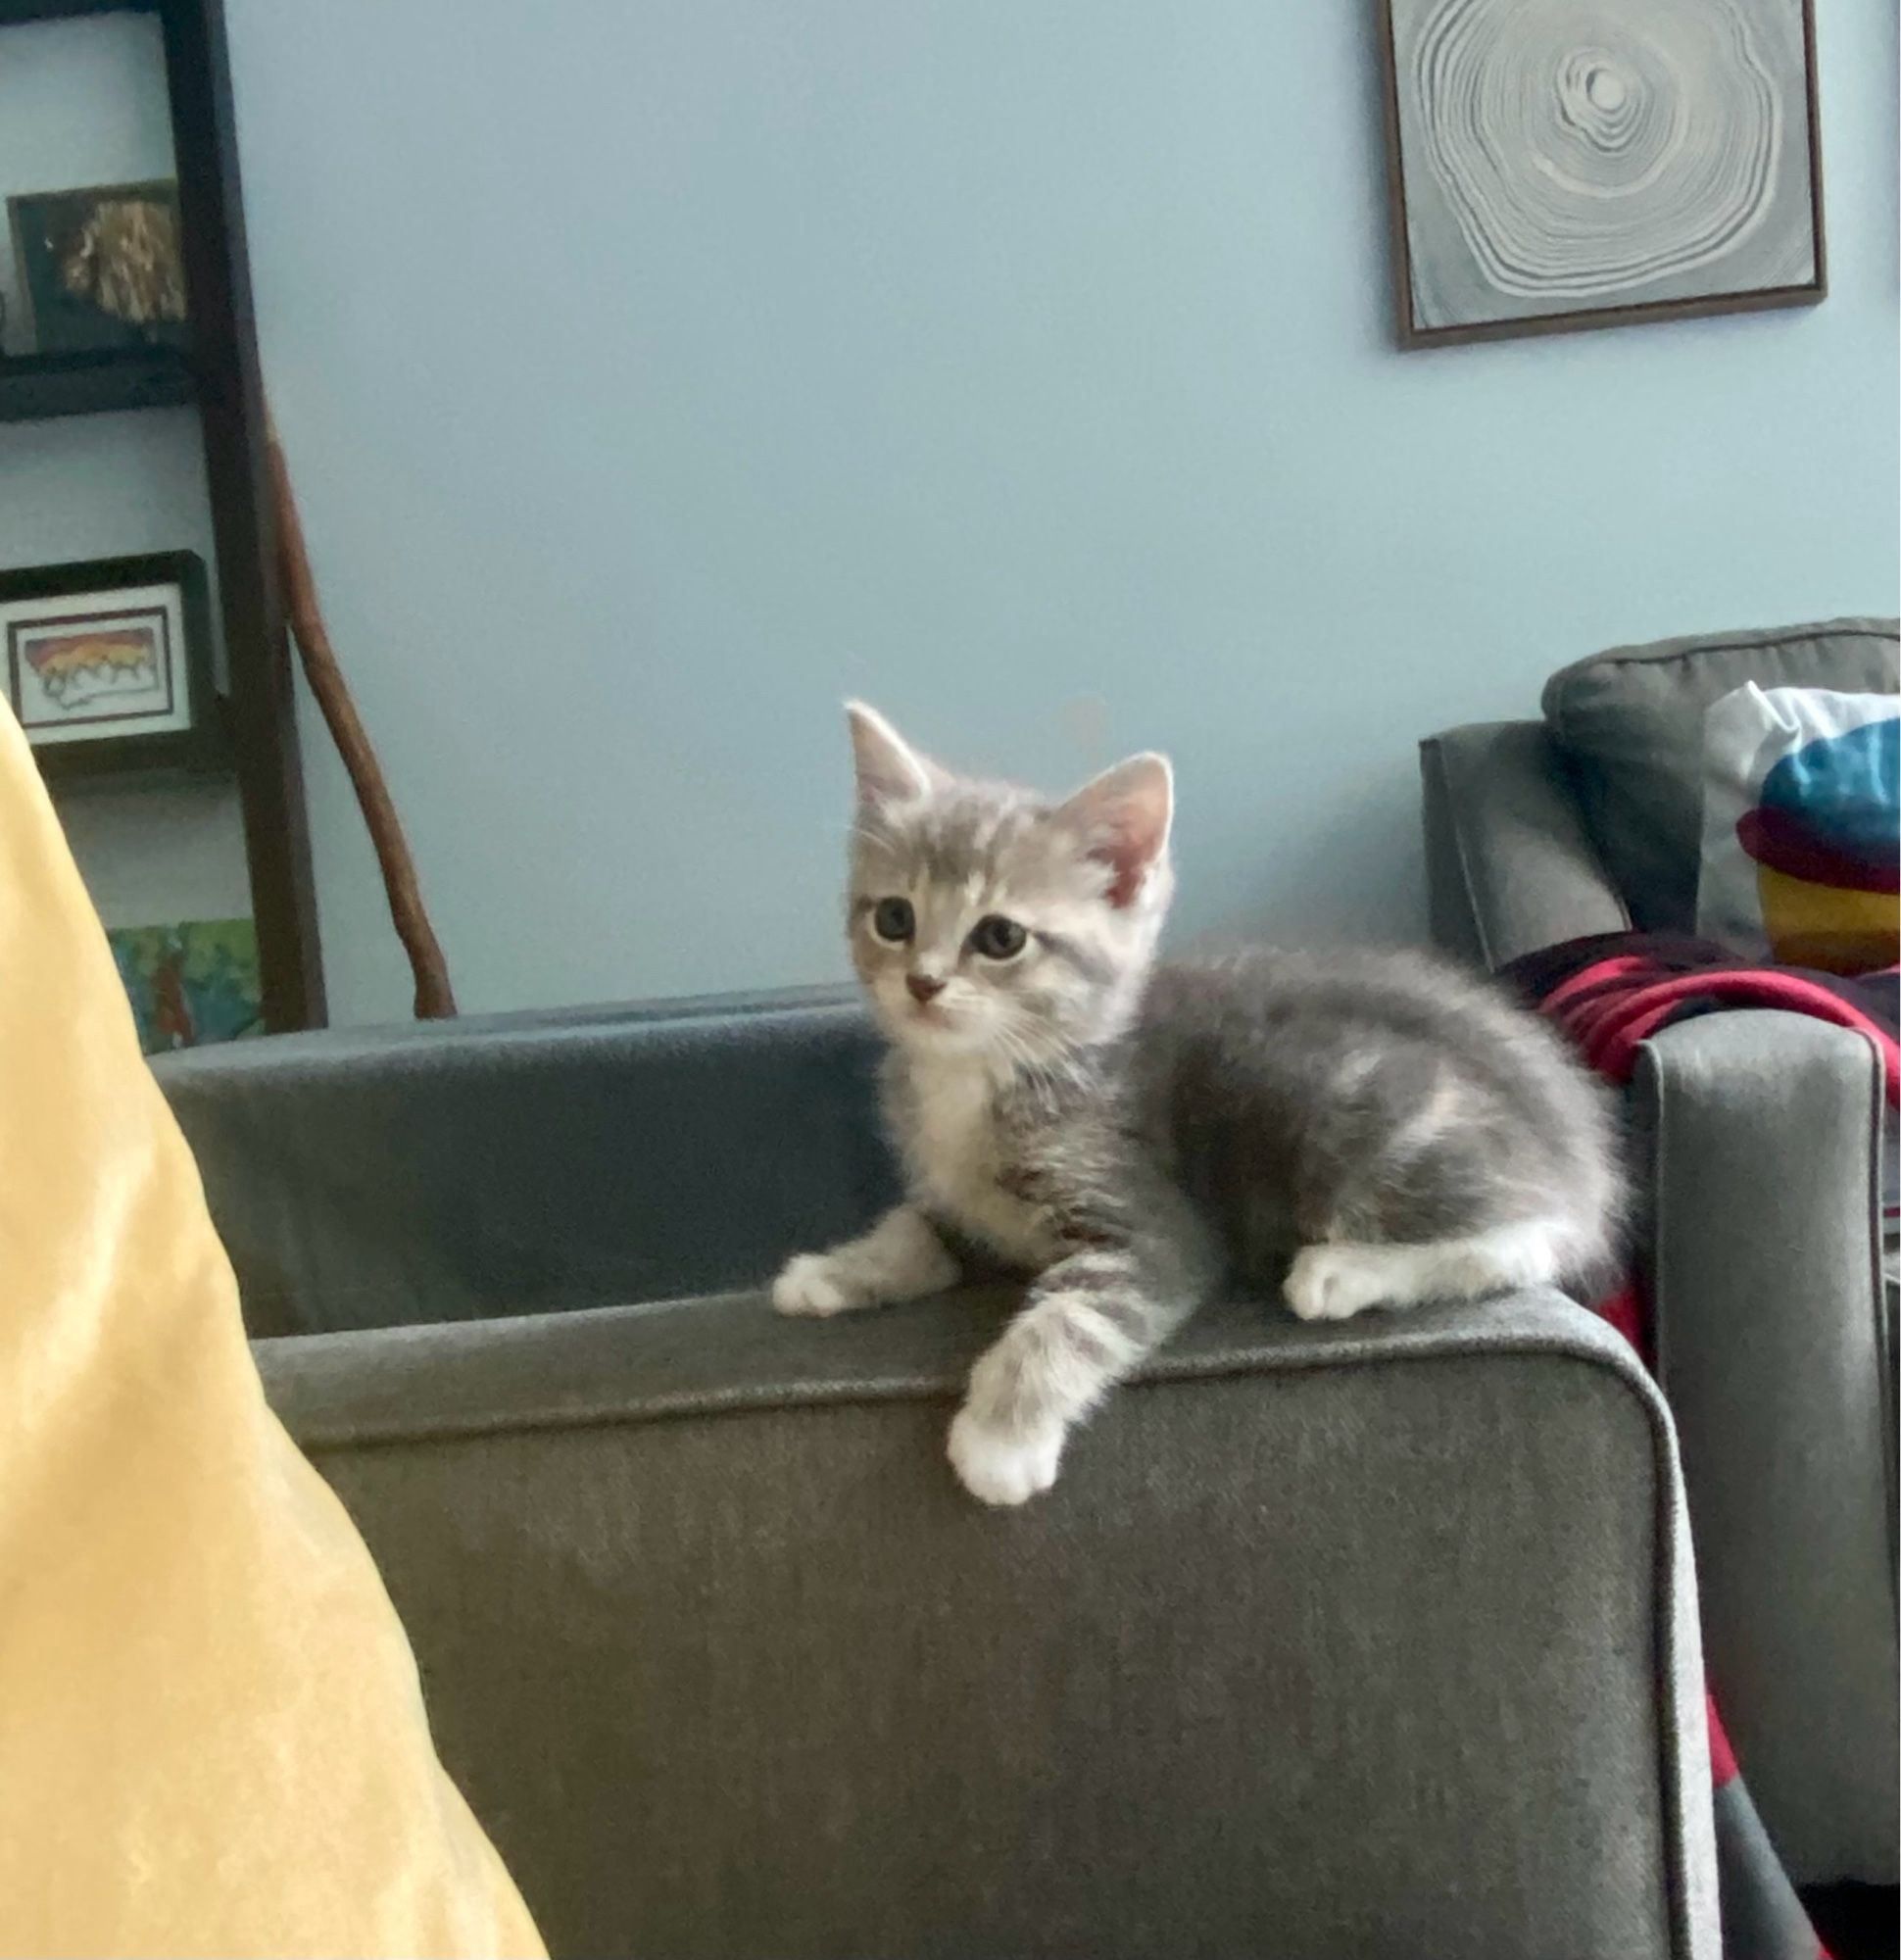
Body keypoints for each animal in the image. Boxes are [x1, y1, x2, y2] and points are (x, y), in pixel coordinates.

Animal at [772, 706, 1615, 1497]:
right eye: (894, 918)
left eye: (1001, 937)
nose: (922, 983)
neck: (988, 1073)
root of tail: (1575, 1144)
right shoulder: (963, 1205)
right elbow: (914, 1227)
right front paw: (831, 1272)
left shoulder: (1151, 1227)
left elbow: (1070, 1321)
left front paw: (999, 1438)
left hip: (1353, 1113)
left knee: (1537, 1236)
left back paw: (1344, 1271)